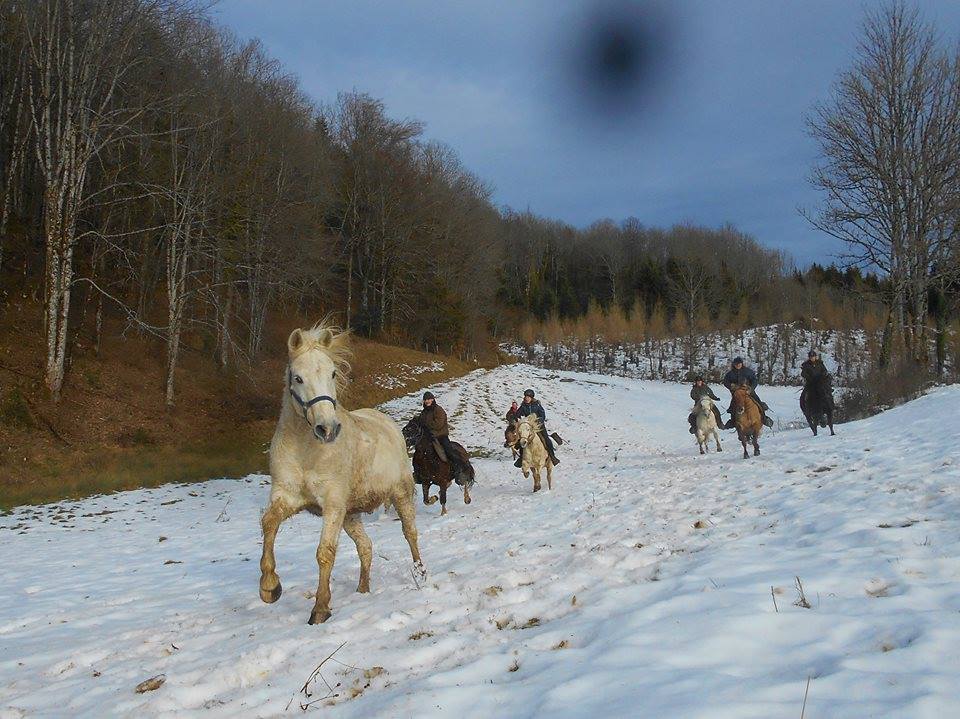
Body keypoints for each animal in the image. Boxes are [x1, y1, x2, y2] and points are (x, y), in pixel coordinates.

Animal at [258, 323, 424, 625]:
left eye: (333, 373)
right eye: (298, 378)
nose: (328, 429)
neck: (306, 449)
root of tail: (390, 425)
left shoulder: (333, 504)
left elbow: (325, 553)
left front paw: (320, 609)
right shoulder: (286, 496)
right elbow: (268, 525)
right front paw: (270, 588)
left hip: (401, 495)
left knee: (410, 533)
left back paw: (420, 572)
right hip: (351, 515)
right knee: (366, 546)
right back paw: (363, 589)